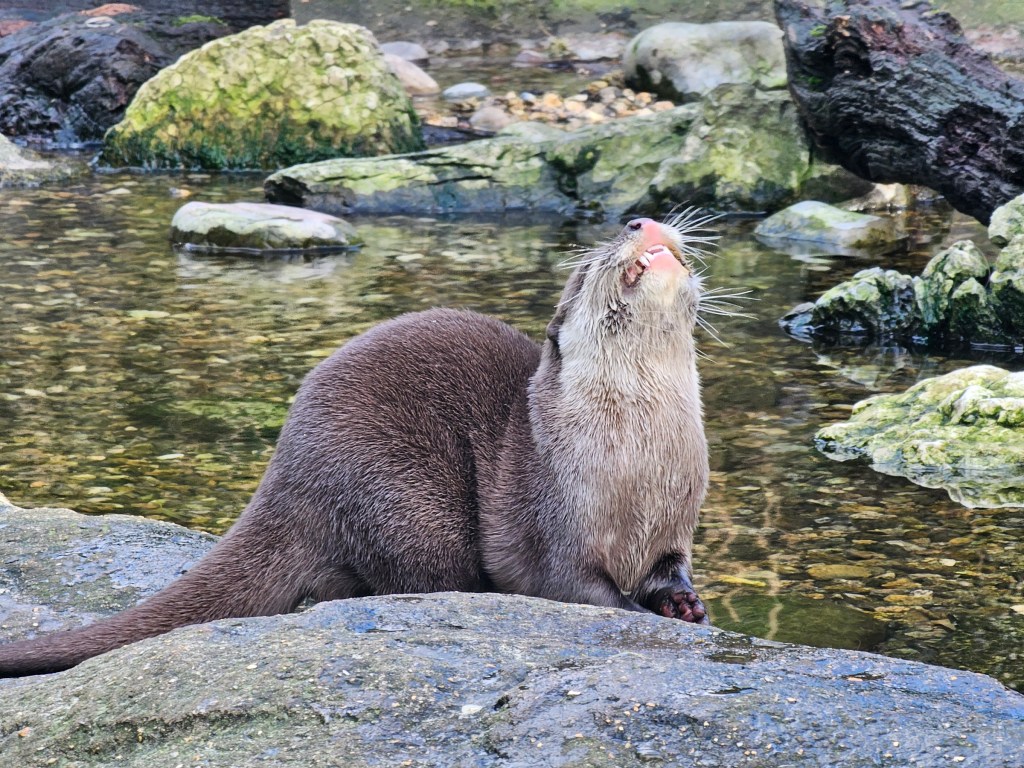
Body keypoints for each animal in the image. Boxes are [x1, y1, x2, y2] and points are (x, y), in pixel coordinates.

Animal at [0, 215, 716, 677]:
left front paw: (683, 601)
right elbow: (577, 589)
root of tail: (286, 472)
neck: (639, 462)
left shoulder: (676, 523)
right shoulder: (553, 521)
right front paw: (642, 610)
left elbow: (673, 567)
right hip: (404, 500)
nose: (639, 219)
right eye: (586, 267)